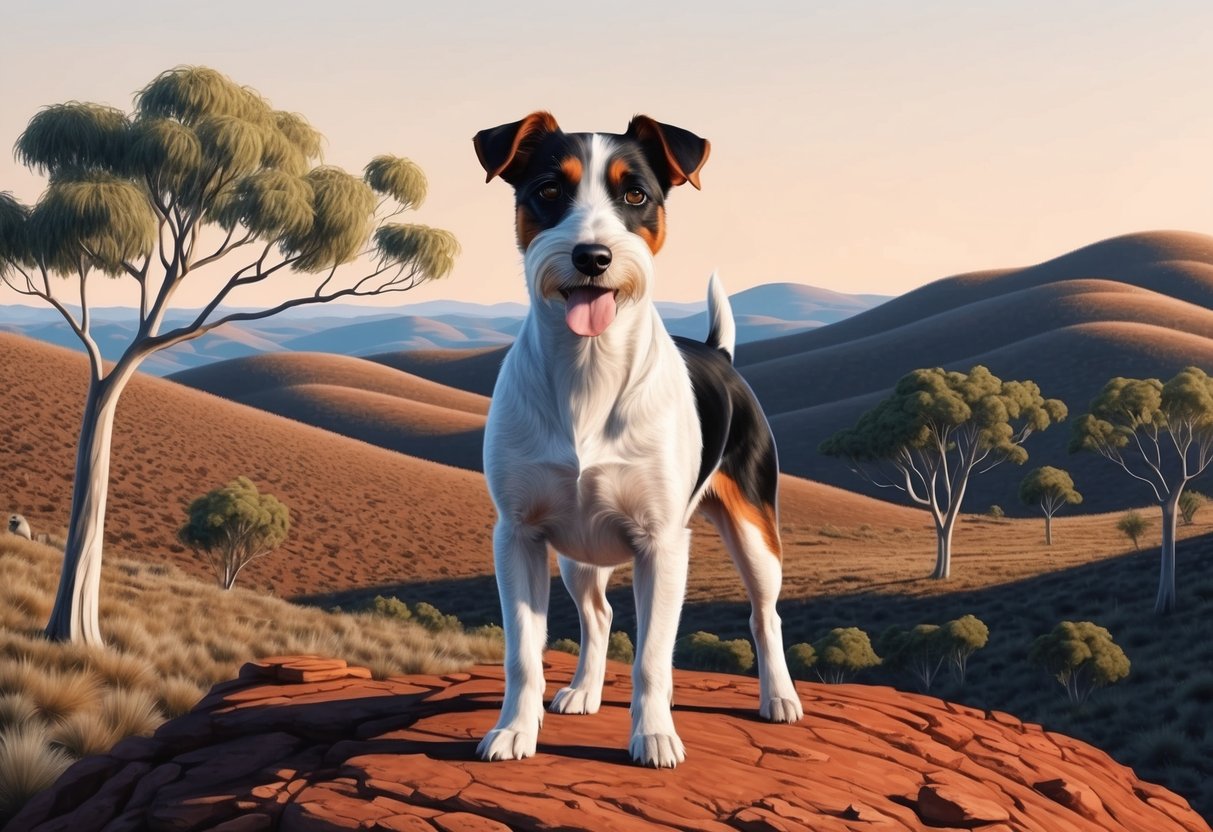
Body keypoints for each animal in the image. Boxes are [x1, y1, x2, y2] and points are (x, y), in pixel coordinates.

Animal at [473, 114, 805, 771]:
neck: (589, 369)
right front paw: (515, 730)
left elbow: (653, 655)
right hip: (576, 554)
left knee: (765, 615)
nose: (593, 256)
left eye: (635, 195)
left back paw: (778, 698)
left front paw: (654, 737)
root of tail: (720, 354)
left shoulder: (662, 544)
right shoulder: (518, 536)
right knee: (598, 616)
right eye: (549, 190)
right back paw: (582, 691)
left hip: (755, 532)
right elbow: (523, 651)